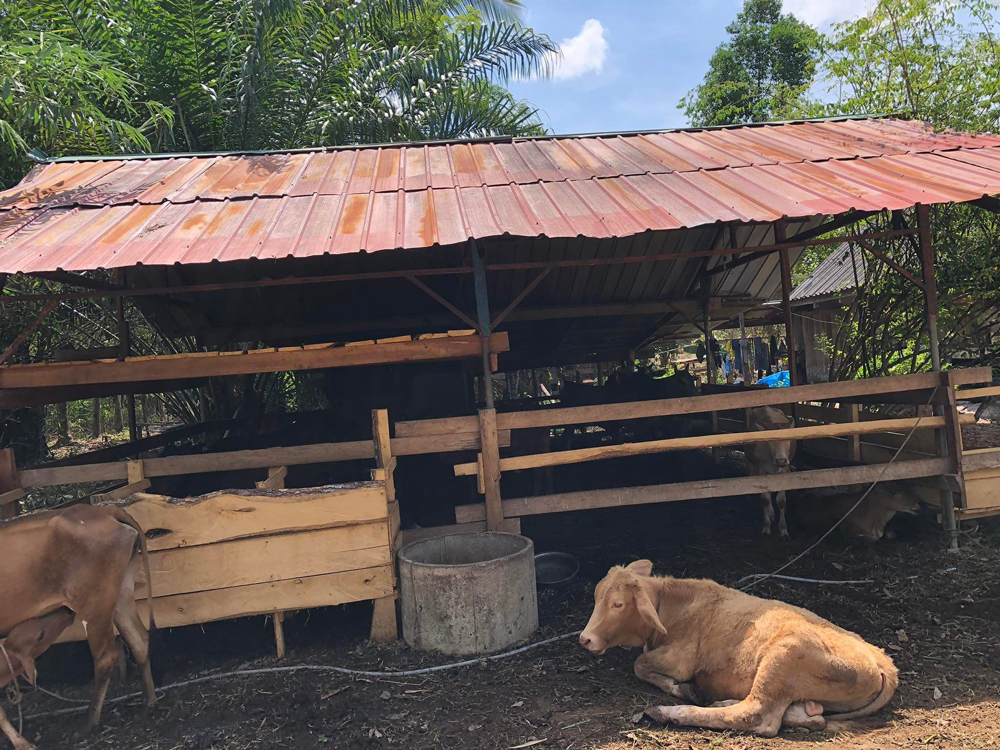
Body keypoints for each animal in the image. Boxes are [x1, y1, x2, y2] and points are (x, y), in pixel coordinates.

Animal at [0, 506, 156, 750]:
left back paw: (87, 725)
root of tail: (103, 509)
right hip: (120, 593)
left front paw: (23, 744)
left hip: (94, 605)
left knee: (106, 657)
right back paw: (148, 703)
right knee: (139, 640)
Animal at [580, 560, 900, 736]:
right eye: (595, 597)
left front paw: (680, 689)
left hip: (783, 657)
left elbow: (640, 664)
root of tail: (883, 661)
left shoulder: (680, 660)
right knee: (810, 717)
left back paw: (672, 711)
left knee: (758, 716)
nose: (585, 638)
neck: (671, 606)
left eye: (617, 604)